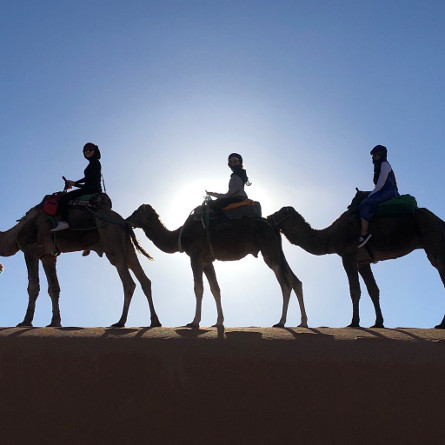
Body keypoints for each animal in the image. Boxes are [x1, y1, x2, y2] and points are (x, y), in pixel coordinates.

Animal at [0, 204, 160, 326]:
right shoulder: (48, 256)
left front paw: (25, 322)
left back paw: (120, 322)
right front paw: (55, 322)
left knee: (128, 282)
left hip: (113, 242)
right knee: (144, 280)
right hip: (127, 246)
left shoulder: (30, 250)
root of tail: (123, 221)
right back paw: (154, 322)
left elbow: (33, 287)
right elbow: (54, 288)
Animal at [125, 204, 306, 326]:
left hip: (269, 250)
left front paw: (194, 322)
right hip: (276, 249)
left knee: (285, 284)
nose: (126, 220)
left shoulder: (196, 256)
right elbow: (215, 289)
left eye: (136, 213)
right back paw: (302, 322)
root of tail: (273, 225)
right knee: (295, 280)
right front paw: (219, 322)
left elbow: (198, 288)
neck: (180, 235)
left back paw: (281, 322)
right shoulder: (207, 261)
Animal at [268, 196, 445, 328]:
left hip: (432, 239)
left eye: (280, 212)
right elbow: (373, 290)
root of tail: (440, 221)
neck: (330, 236)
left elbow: (354, 290)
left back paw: (441, 324)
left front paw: (354, 322)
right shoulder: (363, 262)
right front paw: (378, 323)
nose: (268, 217)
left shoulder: (348, 255)